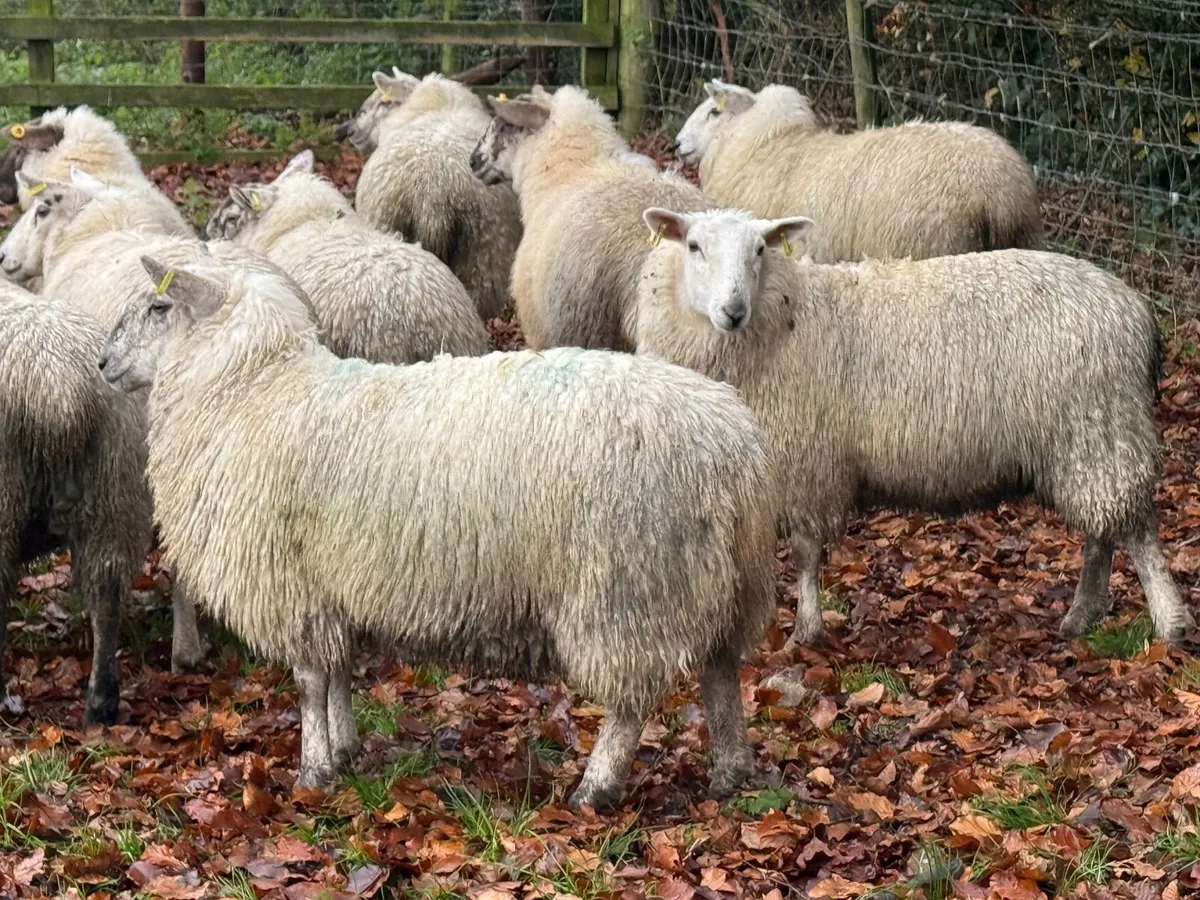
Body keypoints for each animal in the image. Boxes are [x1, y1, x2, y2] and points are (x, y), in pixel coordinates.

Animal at [98, 252, 780, 808]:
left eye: (159, 306)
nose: (103, 362)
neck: (251, 391)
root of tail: (733, 444)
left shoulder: (295, 586)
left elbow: (311, 682)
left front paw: (313, 771)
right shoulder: (334, 585)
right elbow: (339, 675)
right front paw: (345, 752)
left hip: (628, 585)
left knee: (631, 701)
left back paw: (596, 788)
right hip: (722, 582)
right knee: (721, 676)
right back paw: (731, 774)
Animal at [632, 206, 1191, 649]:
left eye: (760, 249)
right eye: (694, 246)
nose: (733, 310)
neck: (785, 320)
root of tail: (1136, 310)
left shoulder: (807, 463)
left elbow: (805, 553)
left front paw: (806, 631)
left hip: (1102, 425)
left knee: (1136, 529)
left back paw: (1169, 624)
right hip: (1088, 437)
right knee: (1103, 530)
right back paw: (1082, 616)